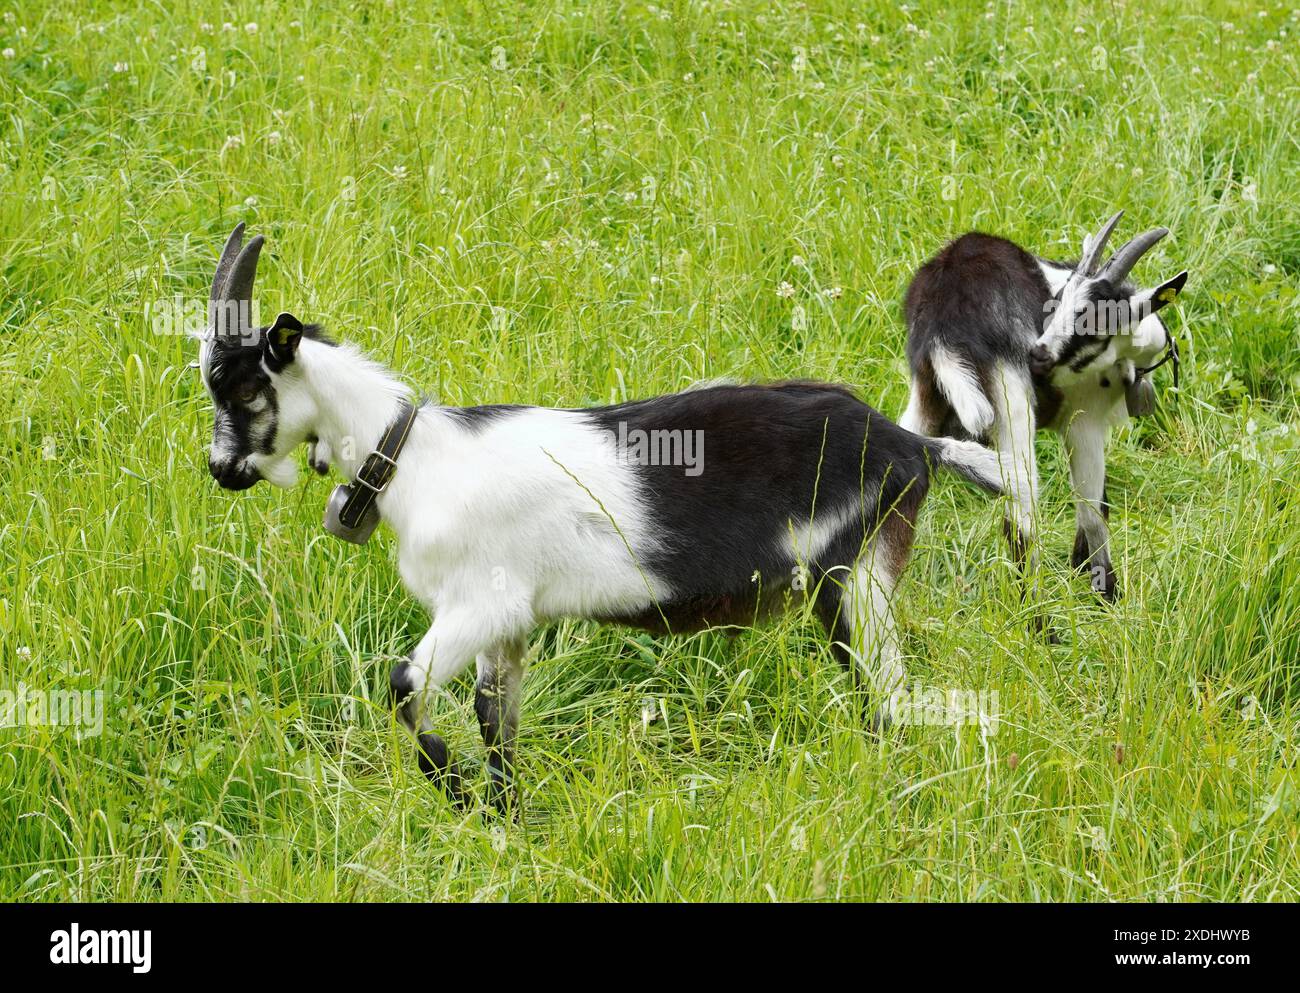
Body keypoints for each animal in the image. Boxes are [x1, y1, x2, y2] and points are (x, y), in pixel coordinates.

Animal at [198, 224, 1010, 814]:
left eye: (240, 389)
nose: (220, 469)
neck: (413, 458)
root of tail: (912, 444)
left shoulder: (478, 603)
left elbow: (402, 683)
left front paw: (456, 793)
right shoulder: (510, 622)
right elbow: (497, 720)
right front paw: (505, 816)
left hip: (851, 573)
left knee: (884, 693)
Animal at [900, 211, 1187, 607]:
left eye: (1096, 318)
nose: (1038, 355)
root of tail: (943, 320)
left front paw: (1079, 567)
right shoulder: (1084, 423)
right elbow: (1094, 511)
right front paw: (1107, 597)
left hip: (924, 398)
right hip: (1012, 406)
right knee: (1021, 523)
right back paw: (1036, 618)